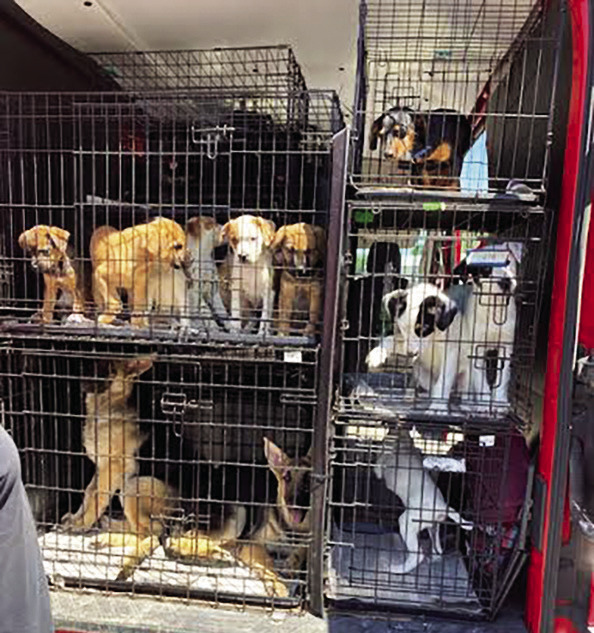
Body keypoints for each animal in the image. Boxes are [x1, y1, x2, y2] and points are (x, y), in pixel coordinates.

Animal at [374, 429, 473, 575]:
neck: (402, 444)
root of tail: (441, 507)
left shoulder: (379, 465)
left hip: (407, 523)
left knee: (418, 555)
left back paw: (397, 569)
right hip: (433, 526)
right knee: (437, 548)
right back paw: (434, 558)